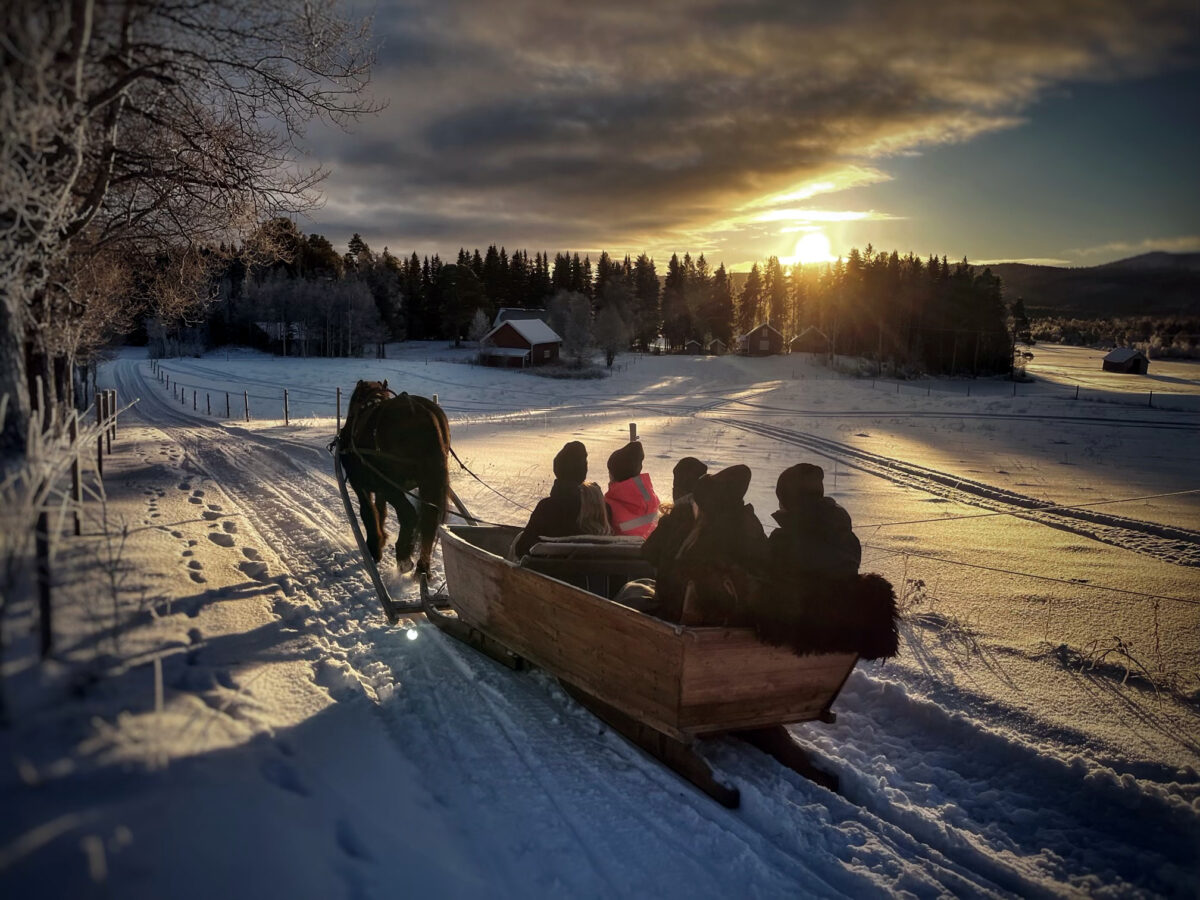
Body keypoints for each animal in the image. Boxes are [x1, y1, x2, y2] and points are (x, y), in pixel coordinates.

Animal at [338, 381, 451, 578]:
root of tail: (425, 413)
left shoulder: (361, 484)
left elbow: (368, 512)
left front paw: (375, 547)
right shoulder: (380, 489)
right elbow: (380, 511)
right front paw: (381, 540)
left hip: (393, 486)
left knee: (409, 515)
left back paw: (404, 556)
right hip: (427, 484)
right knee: (429, 522)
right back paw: (423, 567)